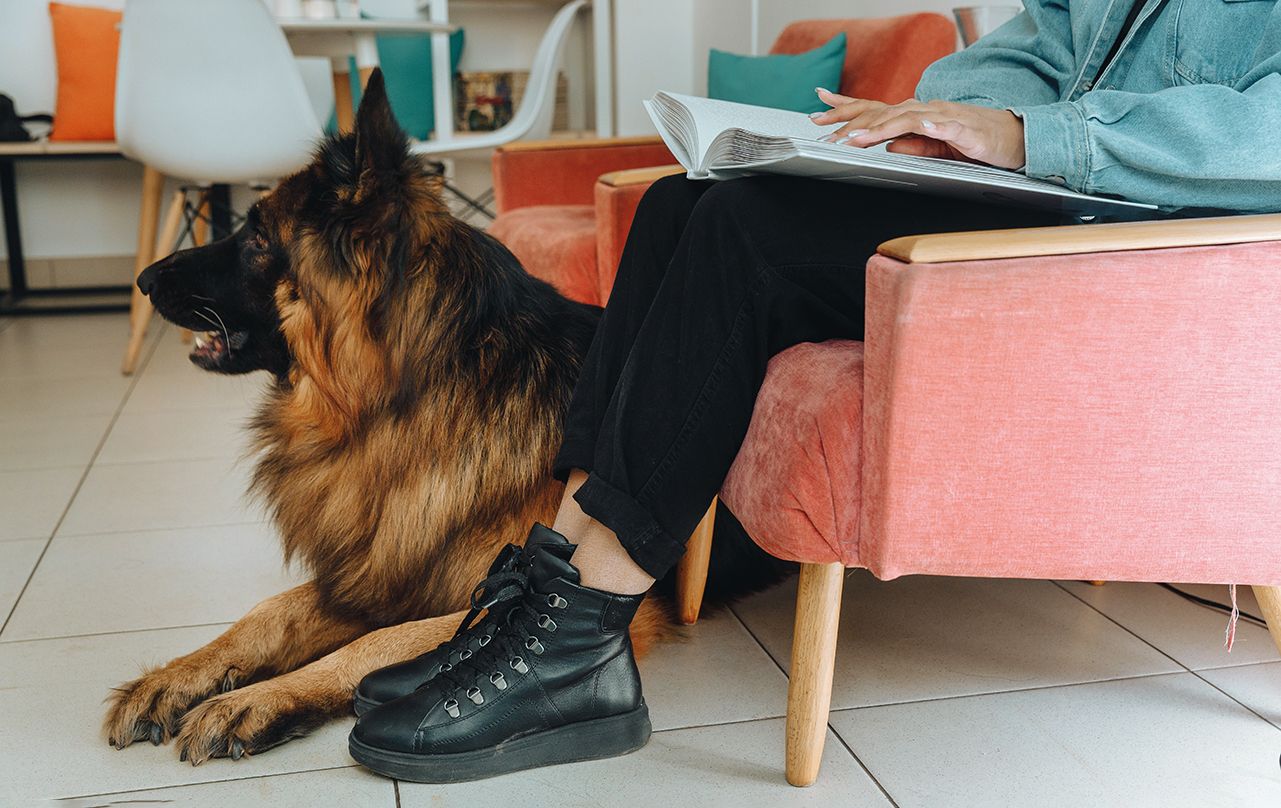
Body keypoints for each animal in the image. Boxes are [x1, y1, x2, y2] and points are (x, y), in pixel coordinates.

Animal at [102, 71, 768, 763]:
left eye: (258, 239)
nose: (144, 278)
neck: (401, 404)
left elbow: (375, 643)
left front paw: (262, 698)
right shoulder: (383, 566)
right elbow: (269, 612)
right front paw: (182, 674)